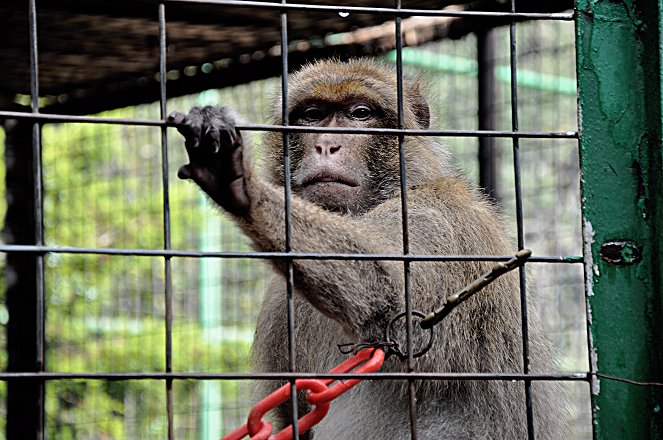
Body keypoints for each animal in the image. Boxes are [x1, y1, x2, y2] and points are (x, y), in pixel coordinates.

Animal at [171, 59, 572, 440]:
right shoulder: (278, 310)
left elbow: (384, 287)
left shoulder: (436, 222)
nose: (326, 145)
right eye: (313, 115)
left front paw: (243, 186)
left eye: (360, 113)